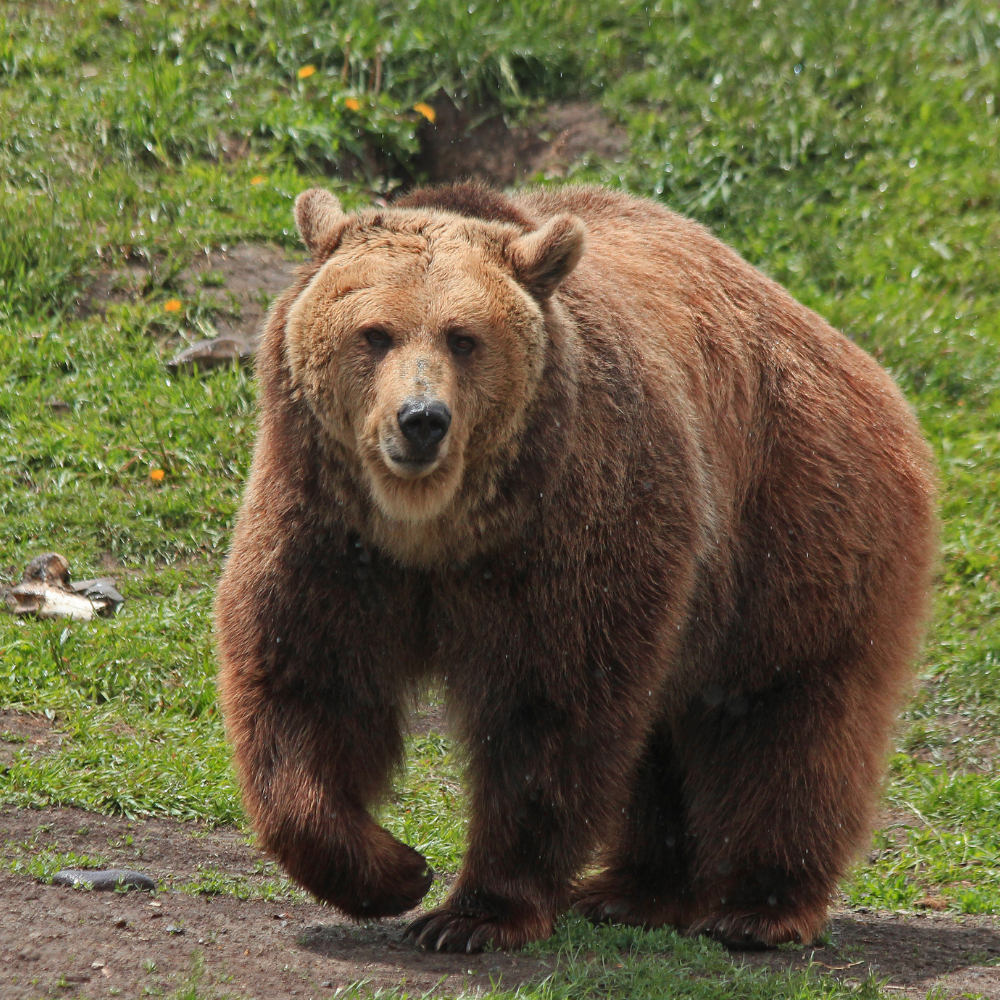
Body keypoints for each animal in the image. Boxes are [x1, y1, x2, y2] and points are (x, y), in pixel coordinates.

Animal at [214, 181, 937, 954]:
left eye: (463, 338)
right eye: (375, 333)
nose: (422, 420)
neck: (433, 528)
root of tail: (844, 348)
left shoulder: (568, 527)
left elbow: (550, 706)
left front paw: (473, 913)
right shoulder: (329, 531)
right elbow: (307, 685)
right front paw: (393, 871)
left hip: (792, 521)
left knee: (783, 715)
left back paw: (757, 906)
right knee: (667, 732)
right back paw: (634, 891)